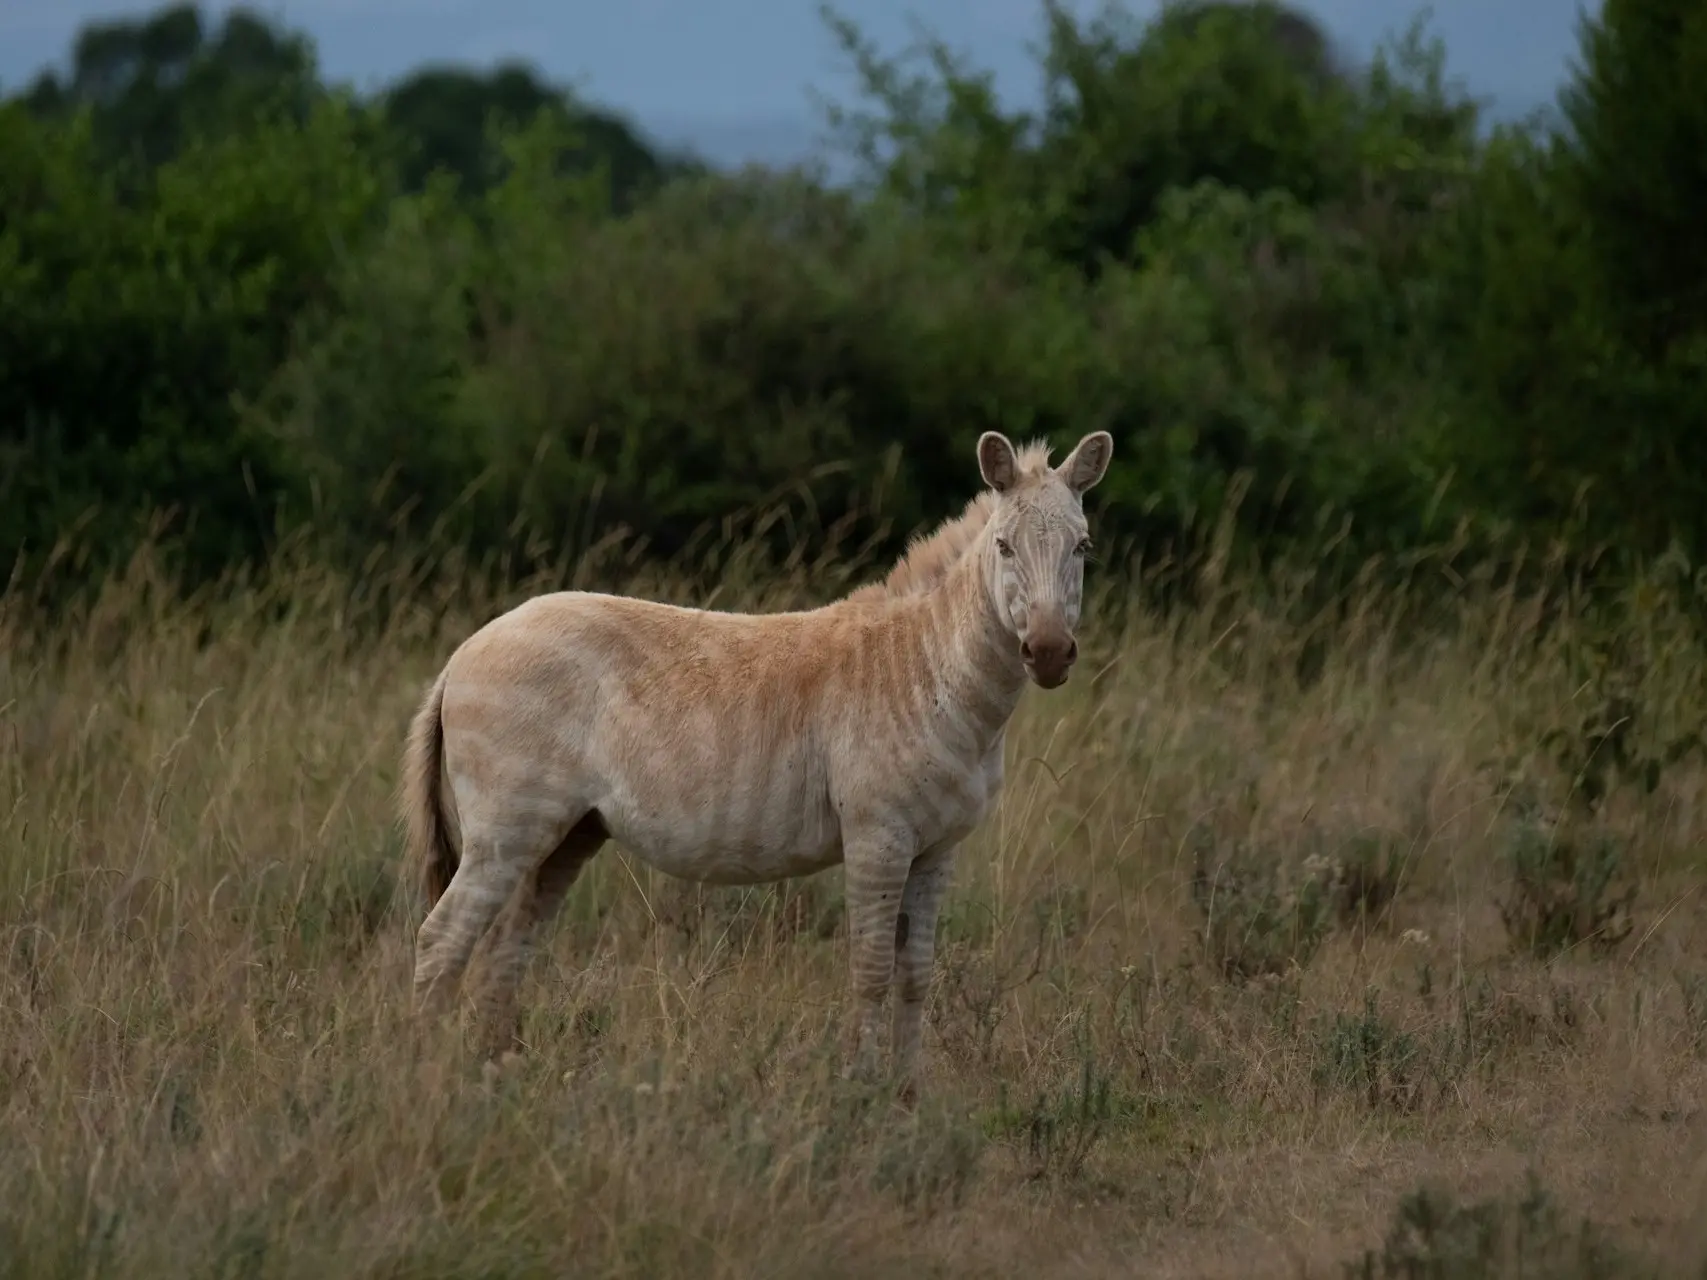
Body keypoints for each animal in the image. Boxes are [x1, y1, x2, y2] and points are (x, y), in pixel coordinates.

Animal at [401, 428, 1119, 1092]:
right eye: (1004, 547)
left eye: (1083, 548)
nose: (1048, 654)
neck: (929, 670)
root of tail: (465, 648)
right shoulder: (878, 837)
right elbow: (869, 971)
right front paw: (860, 1095)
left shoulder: (938, 848)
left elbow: (916, 975)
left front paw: (909, 1097)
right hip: (508, 828)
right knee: (442, 940)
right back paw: (427, 1083)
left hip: (568, 834)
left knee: (504, 947)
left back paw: (498, 1076)